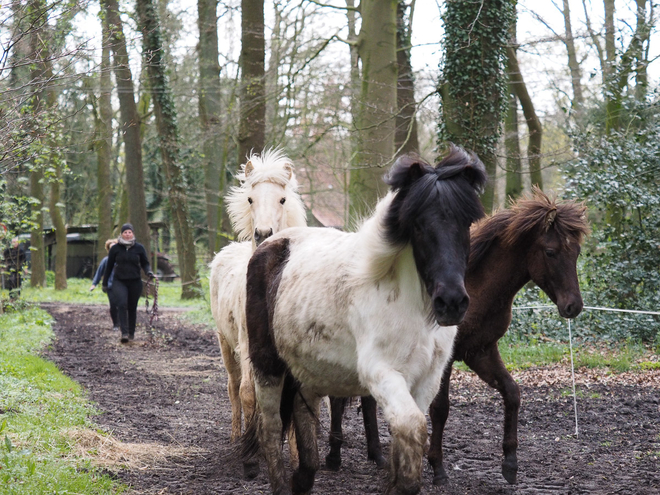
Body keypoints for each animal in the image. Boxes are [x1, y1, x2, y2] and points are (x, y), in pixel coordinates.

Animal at [209, 149, 306, 474]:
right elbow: (249, 395)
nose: (264, 233)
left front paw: (297, 457)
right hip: (226, 344)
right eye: (251, 199)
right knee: (233, 387)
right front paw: (254, 453)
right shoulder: (249, 345)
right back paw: (236, 437)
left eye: (283, 199)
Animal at [245, 148, 488, 495]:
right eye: (418, 225)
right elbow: (413, 433)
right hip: (267, 367)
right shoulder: (382, 373)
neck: (412, 308)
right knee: (270, 430)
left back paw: (304, 476)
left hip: (309, 371)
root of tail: (271, 243)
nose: (452, 302)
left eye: (466, 222)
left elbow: (406, 444)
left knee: (304, 422)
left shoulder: (426, 381)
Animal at [328, 189, 592, 484]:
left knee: (367, 399)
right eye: (550, 252)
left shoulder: (481, 351)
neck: (476, 287)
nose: (573, 306)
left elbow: (512, 393)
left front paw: (510, 463)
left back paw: (377, 456)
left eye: (577, 252)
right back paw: (334, 456)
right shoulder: (447, 359)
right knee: (337, 397)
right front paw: (438, 468)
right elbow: (440, 409)